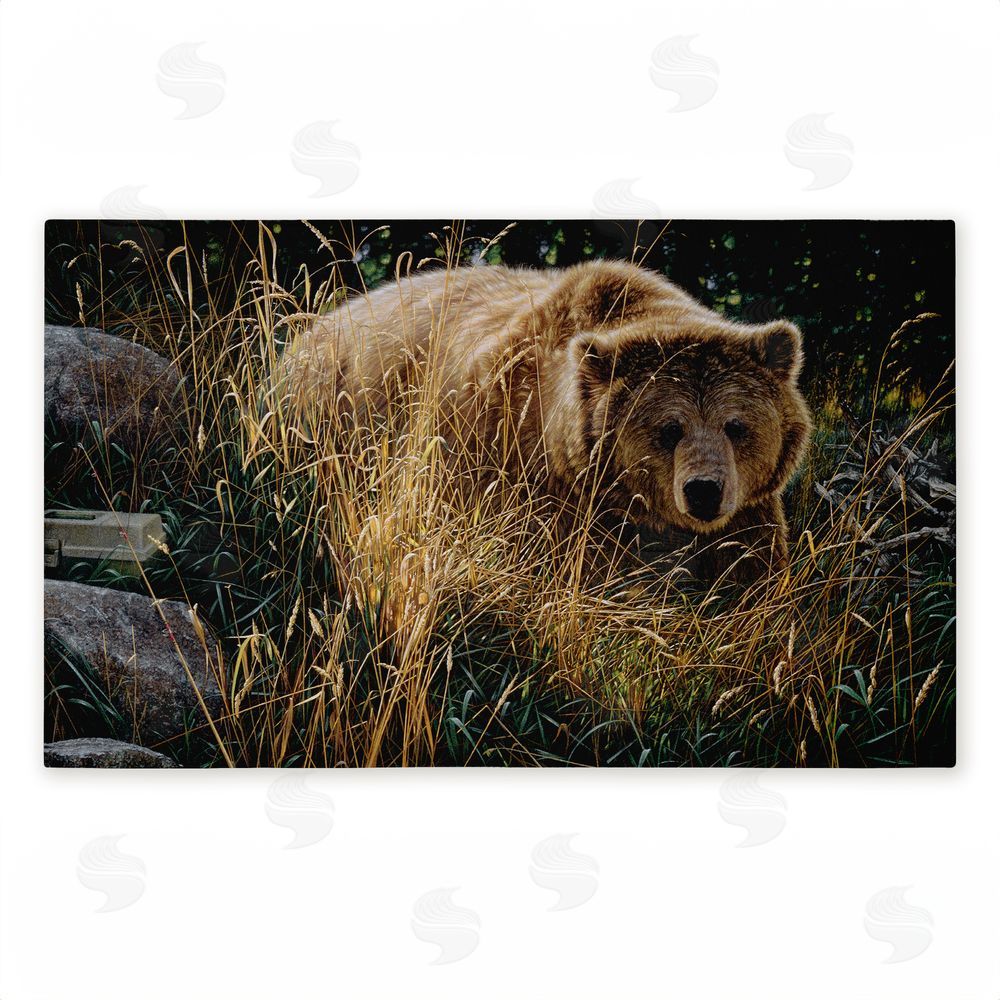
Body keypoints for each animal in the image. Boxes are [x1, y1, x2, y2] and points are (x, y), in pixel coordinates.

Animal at [278, 259, 812, 584]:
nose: (703, 491)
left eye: (736, 425)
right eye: (669, 429)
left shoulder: (746, 515)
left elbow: (748, 577)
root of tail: (307, 333)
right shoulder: (516, 467)